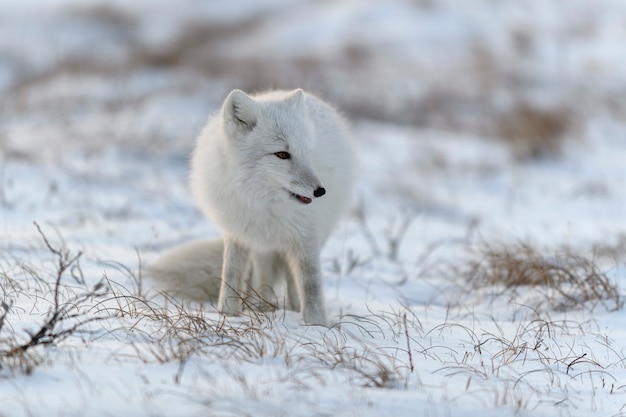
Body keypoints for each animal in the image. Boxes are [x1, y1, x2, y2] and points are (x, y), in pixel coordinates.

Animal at [146, 89, 352, 324]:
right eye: (282, 154)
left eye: (308, 152)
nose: (320, 191)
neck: (260, 201)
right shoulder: (237, 230)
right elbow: (231, 274)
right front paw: (227, 314)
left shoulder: (306, 235)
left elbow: (311, 284)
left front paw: (315, 323)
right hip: (261, 245)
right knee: (263, 275)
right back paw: (263, 306)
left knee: (291, 278)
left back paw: (292, 308)